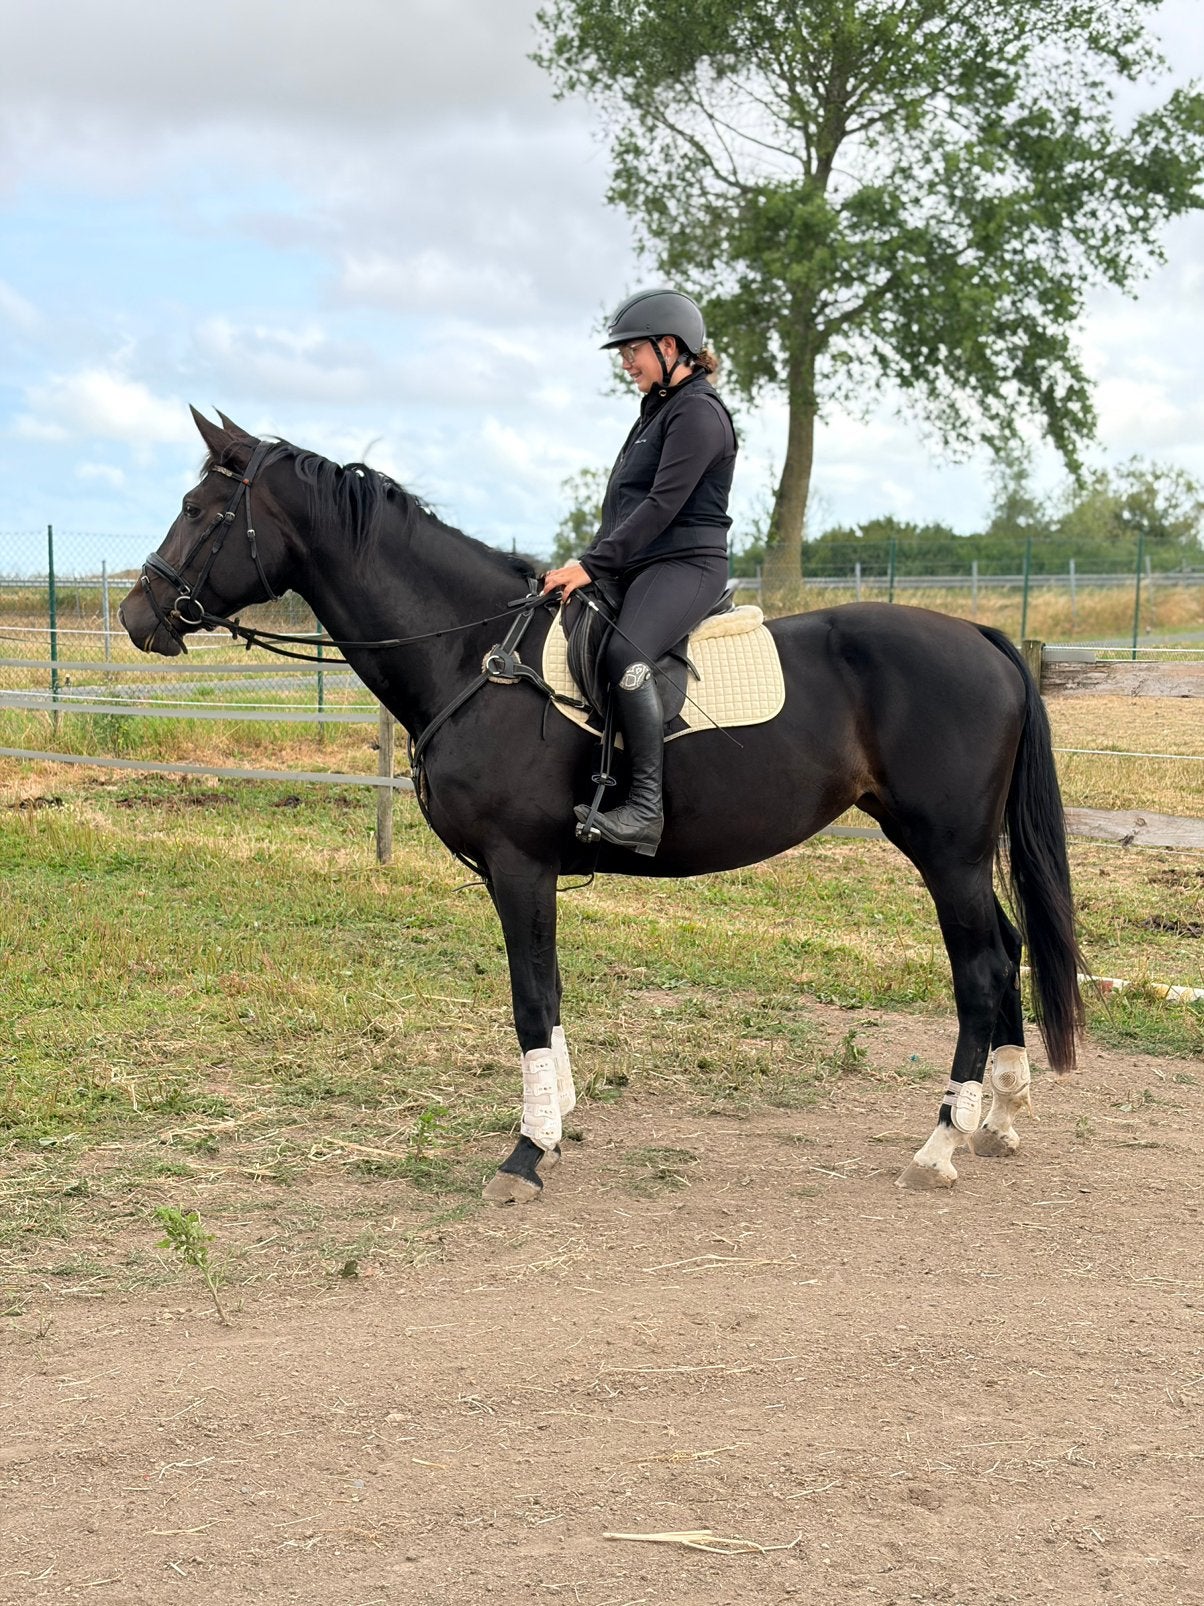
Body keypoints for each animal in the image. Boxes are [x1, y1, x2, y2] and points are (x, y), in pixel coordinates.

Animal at [119, 409, 1085, 1204]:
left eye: (200, 510)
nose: (137, 613)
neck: (475, 654)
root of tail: (985, 639)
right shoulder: (520, 872)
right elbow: (547, 992)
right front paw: (556, 1120)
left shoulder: (520, 865)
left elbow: (528, 999)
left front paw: (525, 1152)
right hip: (955, 852)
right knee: (1004, 951)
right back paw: (998, 1120)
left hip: (946, 850)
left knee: (981, 968)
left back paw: (940, 1144)